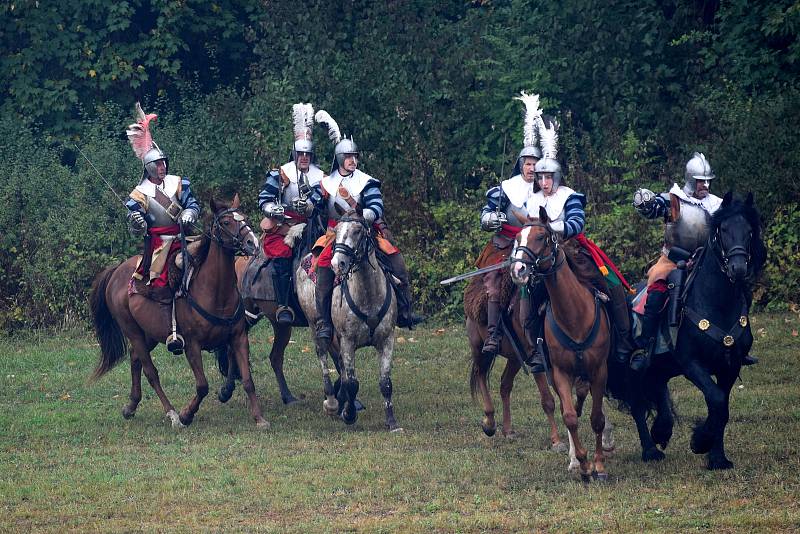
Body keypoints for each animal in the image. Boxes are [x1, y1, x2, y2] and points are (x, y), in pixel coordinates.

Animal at [89, 197, 268, 432]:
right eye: (226, 222)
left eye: (244, 217)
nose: (252, 243)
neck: (215, 292)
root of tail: (117, 271)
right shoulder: (192, 345)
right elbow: (202, 386)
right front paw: (186, 415)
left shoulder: (239, 338)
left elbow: (247, 380)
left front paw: (259, 418)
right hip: (132, 331)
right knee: (150, 372)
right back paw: (172, 413)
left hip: (149, 334)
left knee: (135, 359)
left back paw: (131, 405)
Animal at [296, 211, 400, 434]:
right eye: (336, 232)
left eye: (358, 231)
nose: (338, 264)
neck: (368, 295)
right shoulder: (348, 341)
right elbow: (352, 383)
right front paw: (349, 414)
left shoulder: (387, 340)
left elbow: (385, 383)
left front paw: (392, 422)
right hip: (316, 327)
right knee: (323, 356)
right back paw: (332, 402)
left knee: (340, 367)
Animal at [460, 270, 564, 450]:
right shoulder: (536, 362)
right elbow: (548, 400)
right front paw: (556, 440)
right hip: (480, 350)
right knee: (480, 374)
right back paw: (490, 423)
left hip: (515, 358)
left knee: (505, 385)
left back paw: (507, 430)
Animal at [510, 208, 616, 482]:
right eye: (518, 239)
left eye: (541, 237)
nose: (518, 270)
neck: (574, 316)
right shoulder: (559, 373)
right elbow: (569, 416)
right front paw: (582, 463)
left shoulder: (600, 370)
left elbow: (597, 418)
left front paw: (599, 465)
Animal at [616, 193, 764, 468]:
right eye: (723, 230)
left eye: (749, 231)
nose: (738, 268)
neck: (716, 302)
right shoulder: (692, 364)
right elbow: (716, 400)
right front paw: (701, 441)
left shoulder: (730, 366)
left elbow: (721, 408)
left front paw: (717, 457)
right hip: (634, 370)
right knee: (637, 405)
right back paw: (650, 450)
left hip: (661, 367)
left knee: (658, 390)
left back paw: (662, 431)